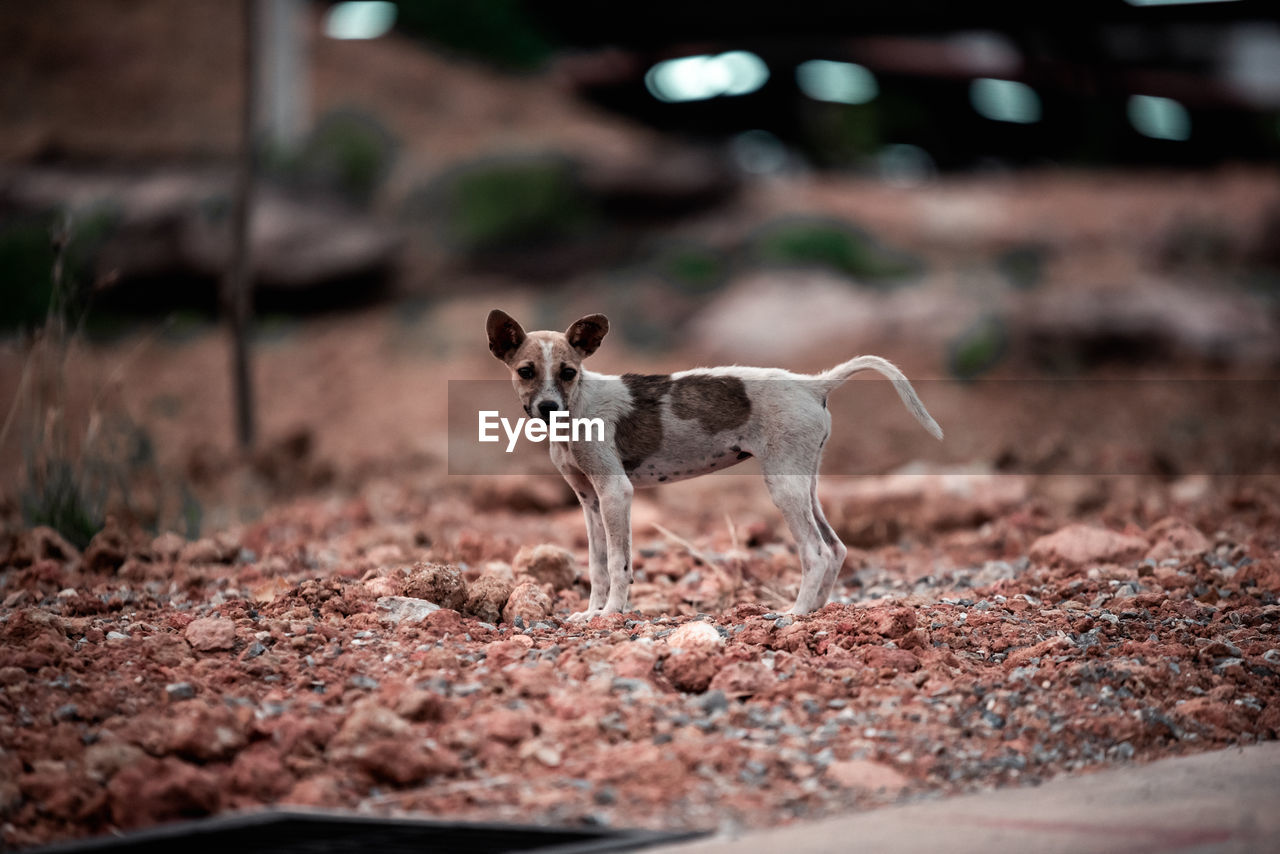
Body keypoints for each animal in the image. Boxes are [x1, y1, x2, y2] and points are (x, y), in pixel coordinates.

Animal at [483, 307, 947, 622]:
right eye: (526, 371)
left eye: (568, 372)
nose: (547, 408)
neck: (578, 407)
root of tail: (813, 384)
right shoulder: (590, 501)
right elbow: (597, 565)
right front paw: (592, 613)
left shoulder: (616, 493)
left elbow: (619, 563)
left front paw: (613, 613)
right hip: (805, 483)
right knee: (836, 548)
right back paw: (814, 611)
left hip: (783, 487)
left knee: (815, 553)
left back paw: (795, 614)